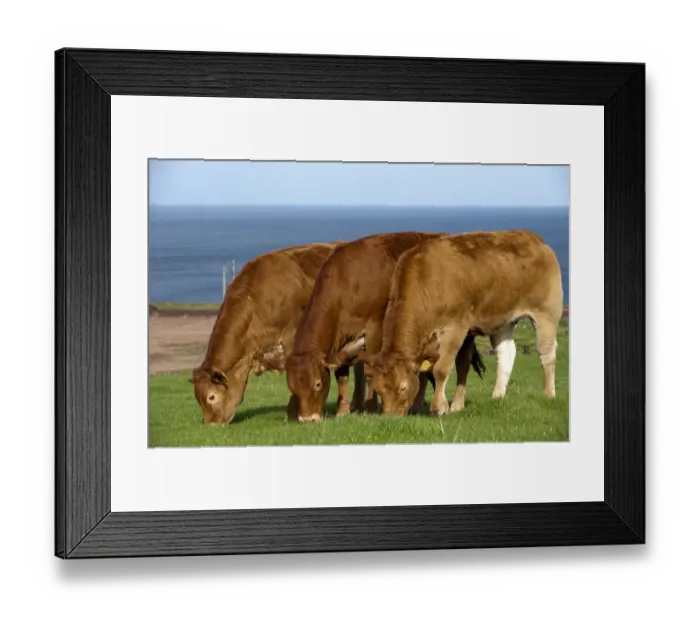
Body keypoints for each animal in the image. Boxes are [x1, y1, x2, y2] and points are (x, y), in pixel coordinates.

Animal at [284, 232, 486, 423]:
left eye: (317, 384)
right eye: (293, 388)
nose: (308, 419)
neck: (348, 282)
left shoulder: (374, 328)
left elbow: (368, 371)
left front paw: (371, 409)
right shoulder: (339, 342)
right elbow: (342, 375)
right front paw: (343, 411)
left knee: (462, 362)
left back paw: (455, 404)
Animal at [357, 230, 563, 417]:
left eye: (403, 388)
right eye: (379, 390)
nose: (390, 418)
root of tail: (534, 239)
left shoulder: (454, 328)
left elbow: (441, 369)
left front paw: (439, 408)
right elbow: (430, 370)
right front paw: (424, 407)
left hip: (546, 313)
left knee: (547, 352)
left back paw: (549, 394)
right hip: (504, 319)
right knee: (506, 352)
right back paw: (497, 395)